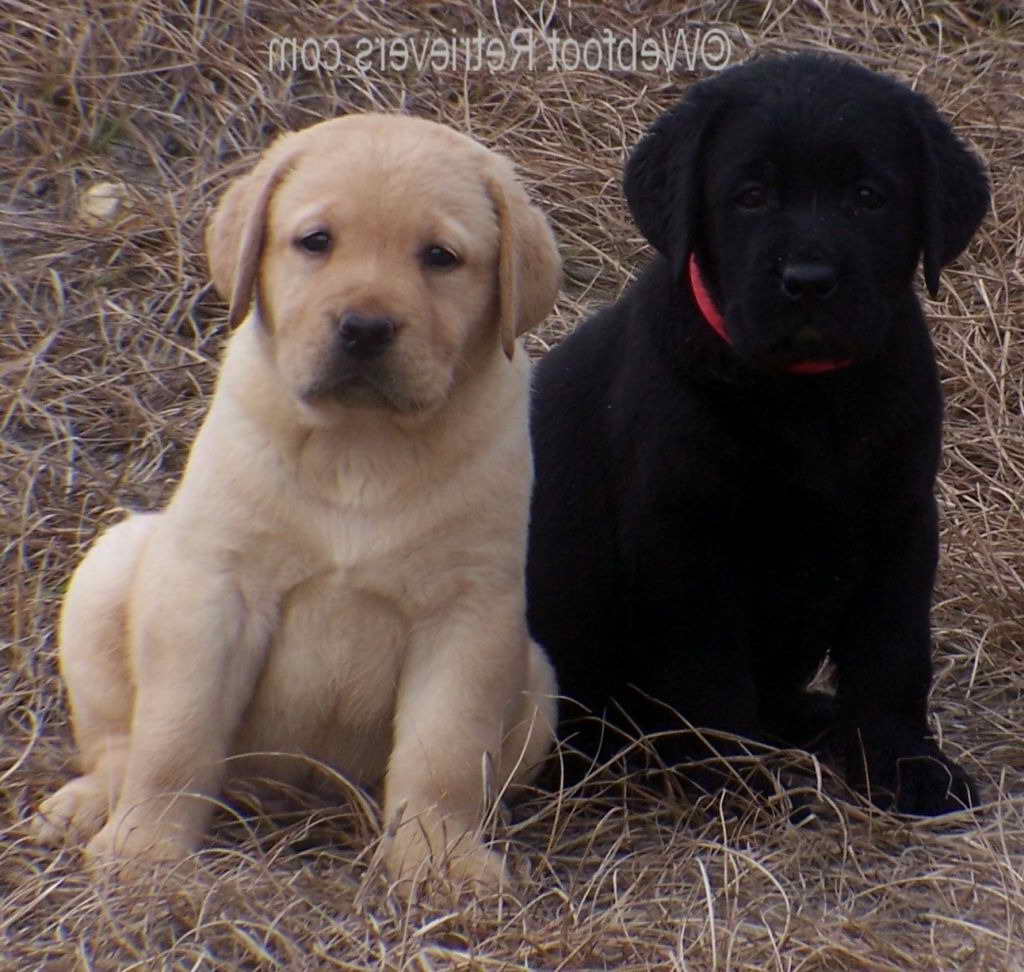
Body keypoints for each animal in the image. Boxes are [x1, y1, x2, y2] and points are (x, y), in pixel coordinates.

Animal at [34, 111, 561, 889]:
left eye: (440, 257)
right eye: (316, 241)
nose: (366, 328)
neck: (359, 445)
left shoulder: (468, 613)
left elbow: (444, 754)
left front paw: (439, 859)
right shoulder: (213, 589)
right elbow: (176, 736)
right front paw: (146, 850)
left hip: (538, 680)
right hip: (113, 567)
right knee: (118, 745)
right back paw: (90, 805)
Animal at [524, 51, 987, 811]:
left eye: (868, 196)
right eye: (750, 195)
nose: (810, 281)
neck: (810, 393)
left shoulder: (904, 517)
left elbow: (893, 652)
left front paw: (903, 764)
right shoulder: (684, 539)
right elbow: (711, 673)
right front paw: (736, 784)